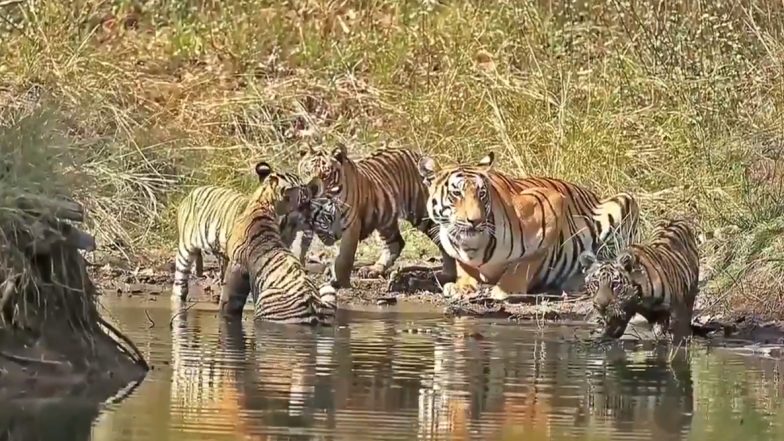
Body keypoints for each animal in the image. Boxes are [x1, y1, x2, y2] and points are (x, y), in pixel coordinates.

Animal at [218, 162, 336, 325]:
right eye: (305, 203)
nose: (315, 216)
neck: (263, 203)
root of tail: (314, 310)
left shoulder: (236, 265)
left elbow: (228, 300)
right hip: (327, 290)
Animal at [297, 143, 457, 290]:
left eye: (326, 175)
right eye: (307, 172)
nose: (312, 190)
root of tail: (415, 154)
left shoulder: (350, 225)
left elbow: (345, 258)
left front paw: (340, 283)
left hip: (423, 215)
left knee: (444, 241)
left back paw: (445, 275)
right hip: (385, 220)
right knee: (395, 243)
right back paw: (374, 269)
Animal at [417, 152, 640, 302]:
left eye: (482, 194)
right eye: (456, 194)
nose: (476, 220)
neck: (473, 245)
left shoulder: (549, 206)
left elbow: (525, 262)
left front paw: (506, 289)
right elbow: (463, 266)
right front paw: (462, 286)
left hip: (624, 201)